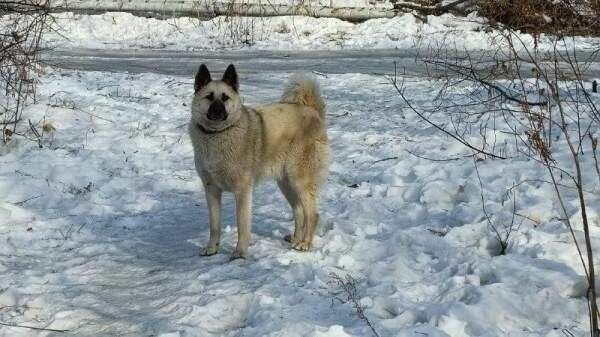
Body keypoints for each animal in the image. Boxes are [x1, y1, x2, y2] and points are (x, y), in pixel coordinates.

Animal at [189, 63, 330, 258]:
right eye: (209, 97)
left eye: (225, 98)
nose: (217, 111)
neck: (217, 135)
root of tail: (312, 110)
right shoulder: (211, 190)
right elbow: (214, 225)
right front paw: (212, 248)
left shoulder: (242, 190)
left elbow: (242, 225)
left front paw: (240, 252)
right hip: (286, 183)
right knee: (299, 211)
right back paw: (295, 238)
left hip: (299, 180)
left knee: (312, 214)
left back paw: (305, 243)